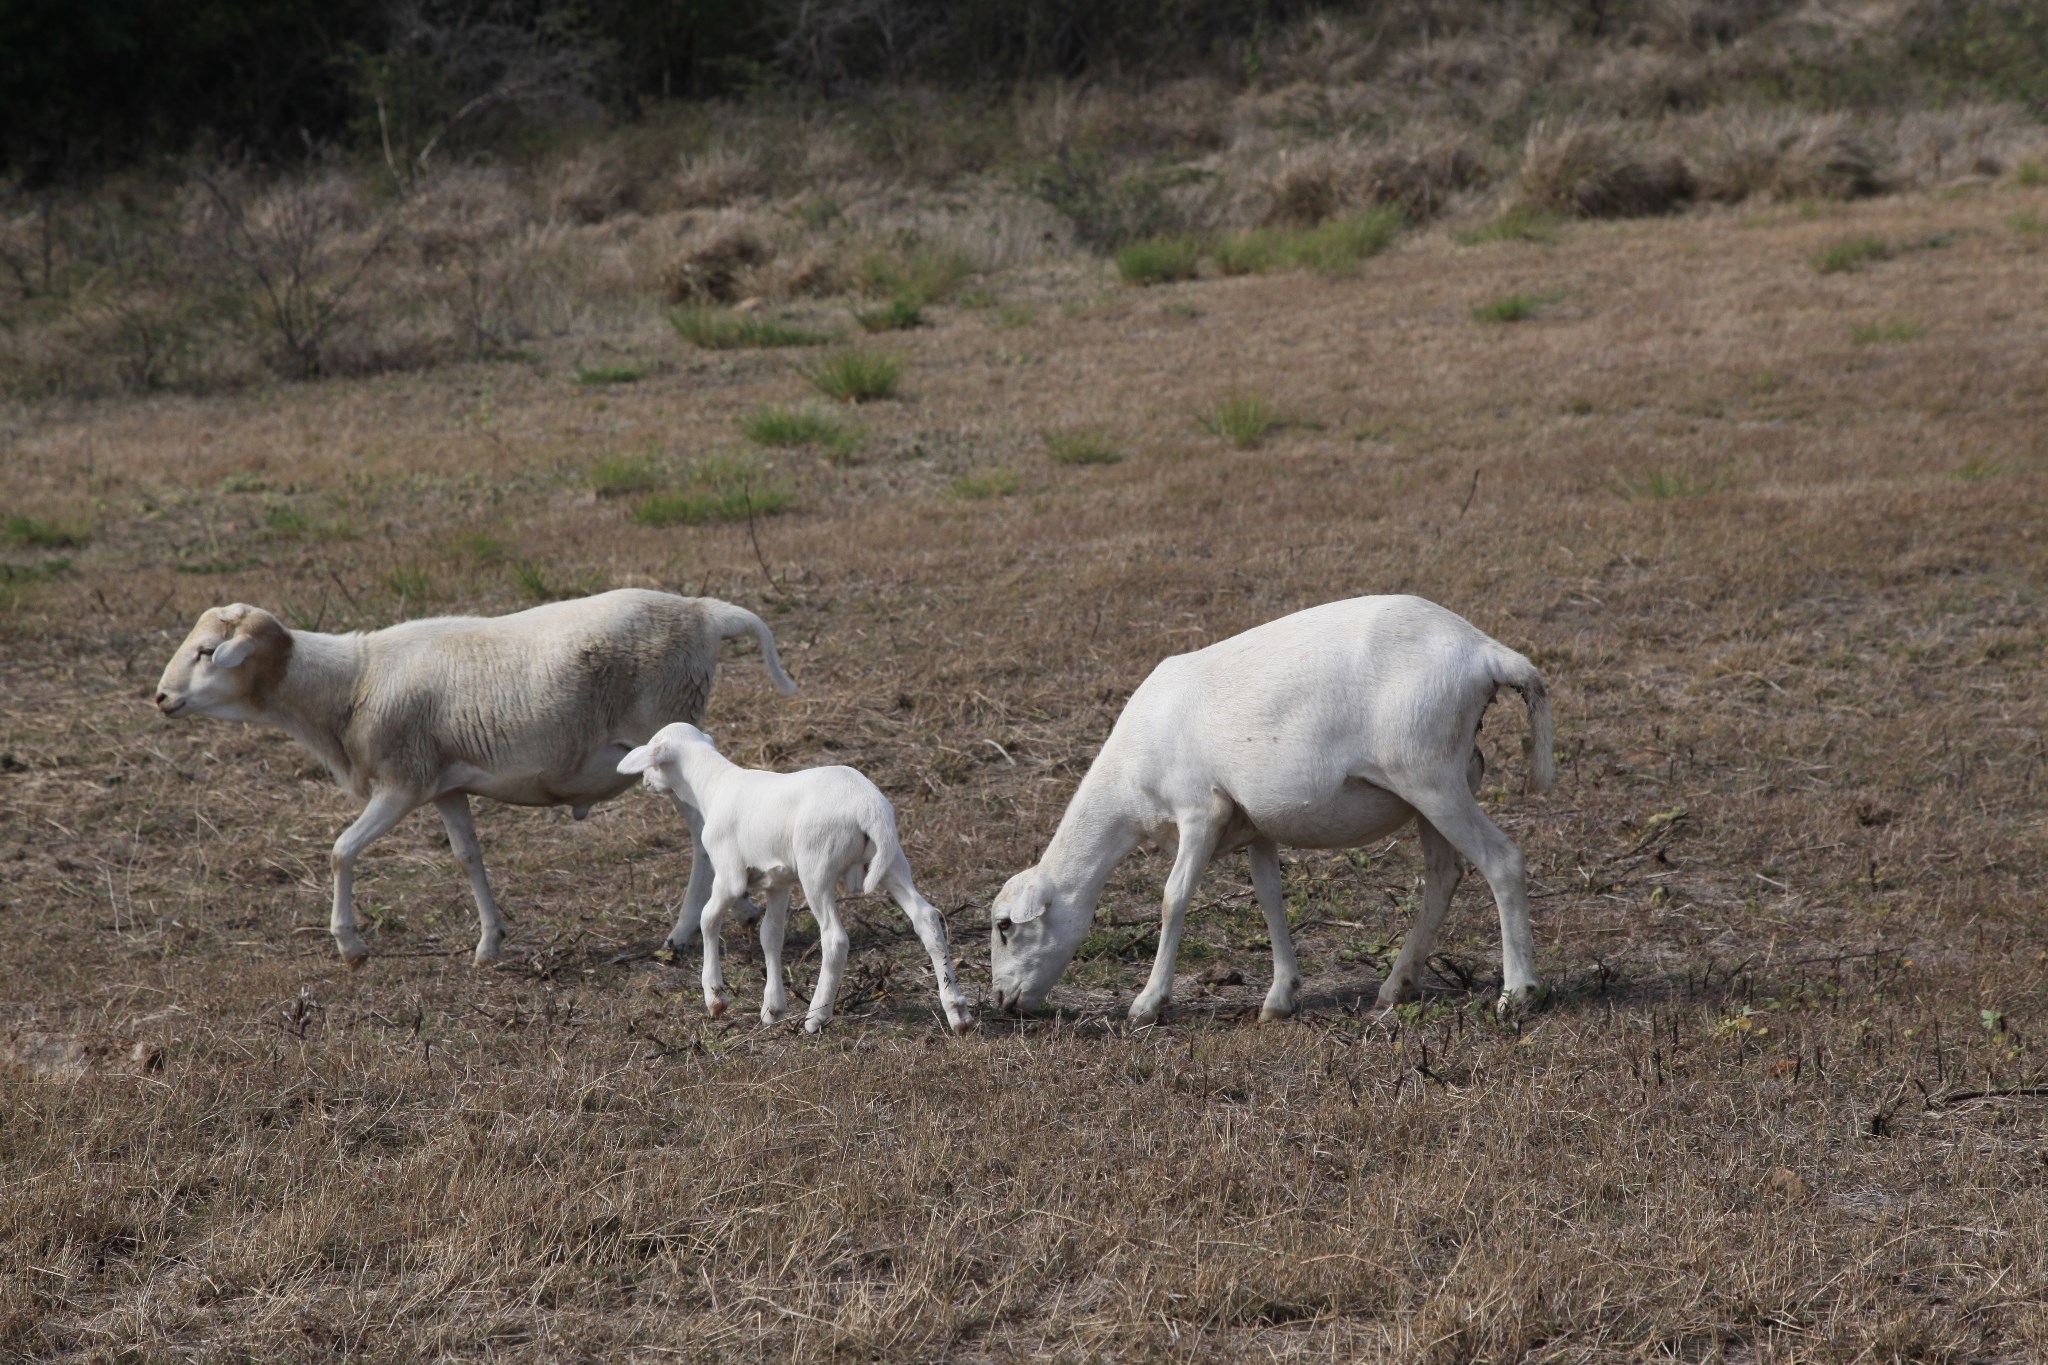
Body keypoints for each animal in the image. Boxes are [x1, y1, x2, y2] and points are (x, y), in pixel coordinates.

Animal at [149, 593, 790, 965]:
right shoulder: (446, 786)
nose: (159, 698)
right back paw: (739, 910)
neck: (349, 685)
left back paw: (681, 934)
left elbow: (340, 850)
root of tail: (706, 614)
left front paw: (349, 942)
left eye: (206, 651)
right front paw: (489, 942)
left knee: (703, 836)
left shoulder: (401, 783)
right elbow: (467, 857)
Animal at [614, 724, 974, 1035]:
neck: (713, 785)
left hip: (817, 865)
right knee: (926, 918)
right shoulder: (778, 881)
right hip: (891, 862)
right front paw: (773, 1008)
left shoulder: (729, 875)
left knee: (835, 939)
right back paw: (957, 1012)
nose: (645, 781)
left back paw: (816, 1016)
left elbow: (708, 918)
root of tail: (869, 810)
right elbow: (770, 936)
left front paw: (715, 996)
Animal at [987, 593, 1548, 1023]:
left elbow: (1173, 899)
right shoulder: (1253, 825)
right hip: (1445, 778)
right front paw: (1280, 997)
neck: (1126, 786)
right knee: (1443, 876)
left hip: (1430, 775)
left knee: (1503, 861)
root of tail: (1487, 653)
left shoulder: (1201, 810)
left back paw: (1516, 994)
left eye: (1005, 927)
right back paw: (1397, 984)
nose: (1000, 1000)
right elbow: (1270, 898)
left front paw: (1147, 1003)